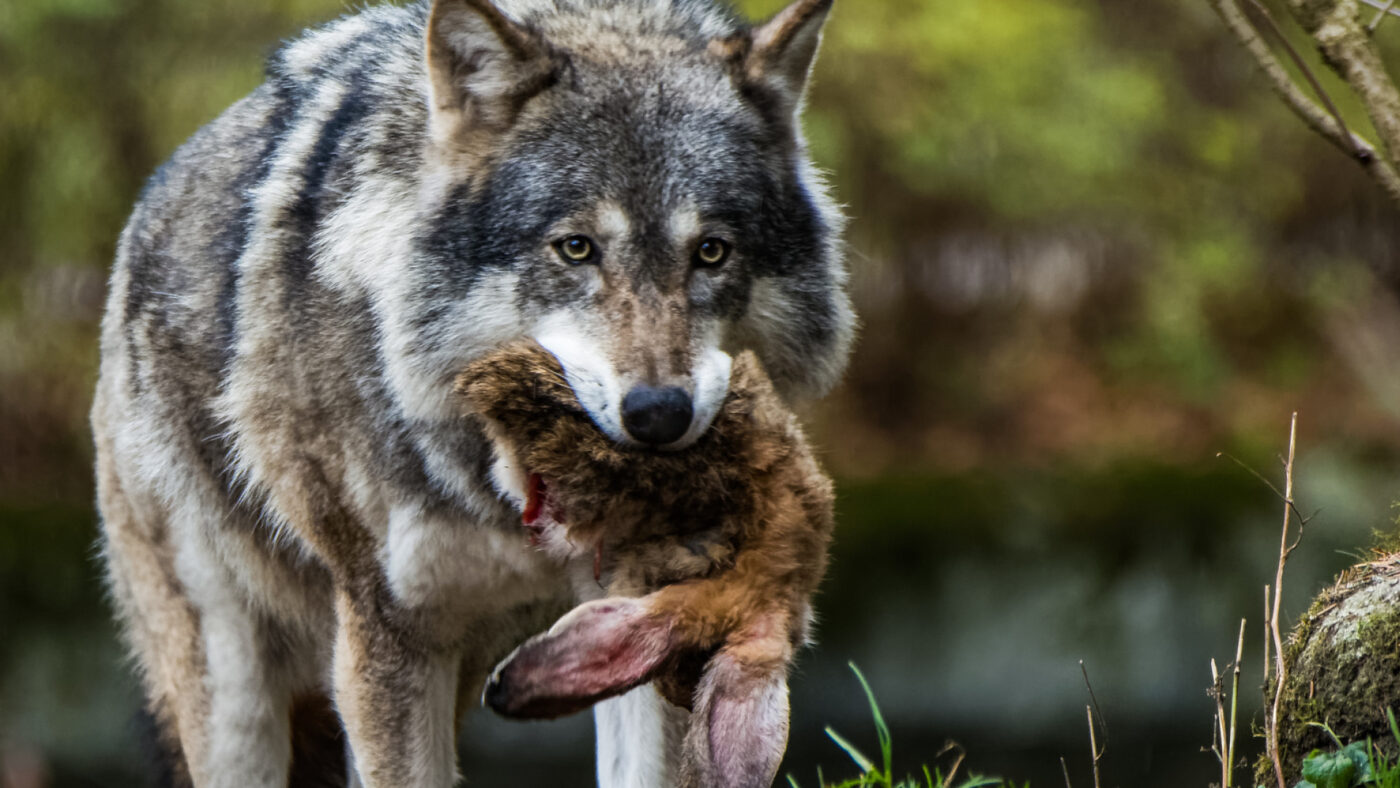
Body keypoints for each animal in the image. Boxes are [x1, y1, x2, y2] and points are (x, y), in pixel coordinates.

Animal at [91, 0, 853, 785]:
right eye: (575, 248)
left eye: (711, 252)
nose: (659, 416)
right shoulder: (388, 635)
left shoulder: (640, 608)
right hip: (236, 696)